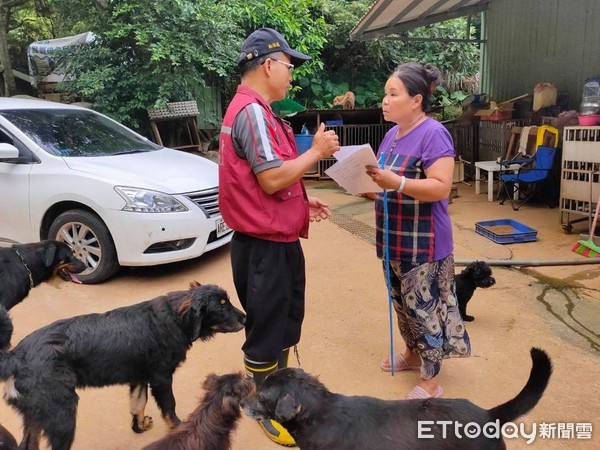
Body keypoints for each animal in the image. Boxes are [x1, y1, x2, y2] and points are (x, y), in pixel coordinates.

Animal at [0, 282, 246, 450]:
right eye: (221, 307)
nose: (245, 318)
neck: (175, 319)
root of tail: (15, 357)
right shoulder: (161, 377)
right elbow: (169, 408)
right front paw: (178, 429)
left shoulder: (139, 377)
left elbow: (138, 404)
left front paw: (139, 427)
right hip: (61, 413)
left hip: (35, 414)